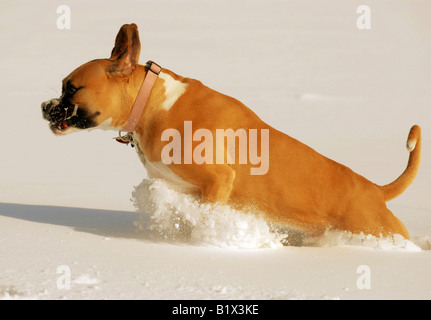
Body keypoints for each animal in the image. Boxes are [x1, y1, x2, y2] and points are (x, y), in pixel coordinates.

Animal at [41, 24, 422, 240]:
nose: (44, 107)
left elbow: (204, 217)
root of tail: (375, 191)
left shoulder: (217, 181)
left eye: (71, 88)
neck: (151, 102)